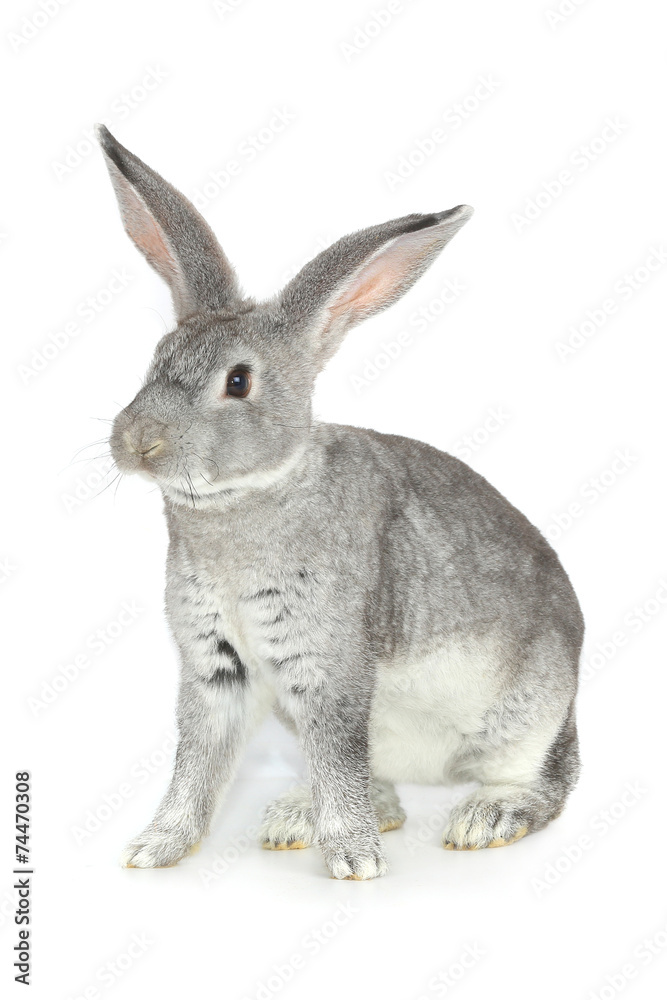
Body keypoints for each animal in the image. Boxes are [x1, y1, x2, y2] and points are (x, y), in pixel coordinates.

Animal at [97, 124, 583, 880]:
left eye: (238, 381)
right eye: (156, 357)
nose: (137, 442)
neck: (245, 503)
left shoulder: (328, 665)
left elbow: (333, 758)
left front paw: (354, 861)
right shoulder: (217, 670)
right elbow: (199, 765)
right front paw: (156, 848)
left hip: (526, 716)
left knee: (548, 779)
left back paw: (485, 818)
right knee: (380, 786)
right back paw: (298, 818)